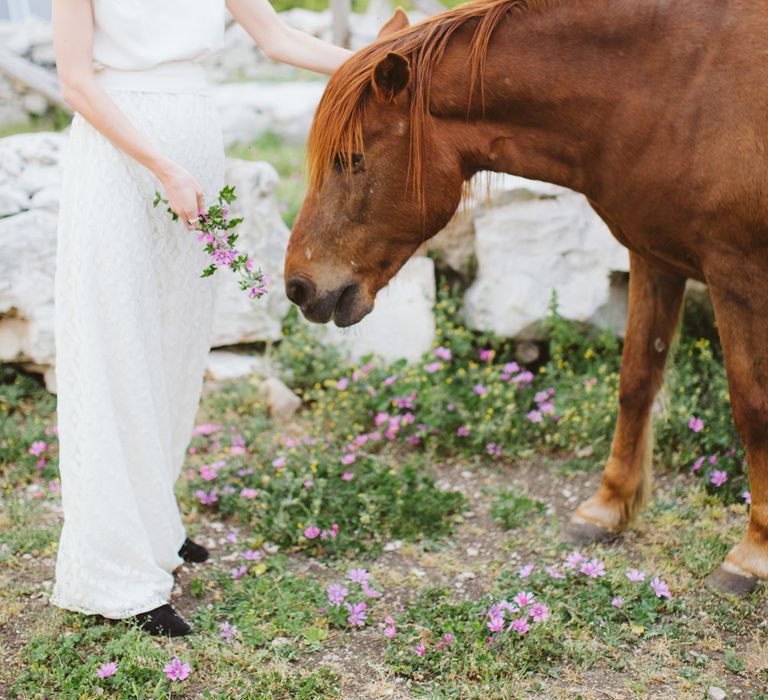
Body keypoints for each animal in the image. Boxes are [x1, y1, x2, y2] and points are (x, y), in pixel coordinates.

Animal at [284, 0, 768, 596]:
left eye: (351, 158)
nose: (298, 286)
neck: (675, 86)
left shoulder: (737, 273)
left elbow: (752, 405)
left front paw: (752, 553)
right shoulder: (653, 257)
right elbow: (636, 380)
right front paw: (607, 508)